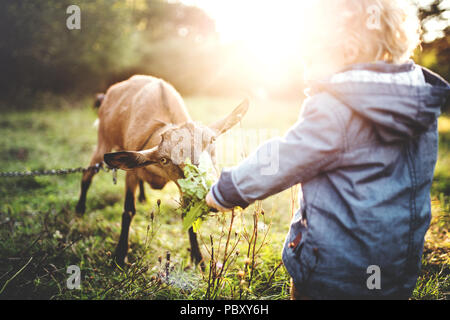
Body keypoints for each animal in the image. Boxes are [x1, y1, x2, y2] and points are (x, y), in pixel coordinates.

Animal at [75, 75, 248, 268]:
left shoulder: (181, 186)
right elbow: (128, 210)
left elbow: (188, 215)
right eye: (165, 159)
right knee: (87, 174)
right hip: (103, 140)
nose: (209, 190)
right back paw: (80, 210)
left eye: (212, 141)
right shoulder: (131, 172)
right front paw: (120, 256)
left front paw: (199, 260)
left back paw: (142, 197)